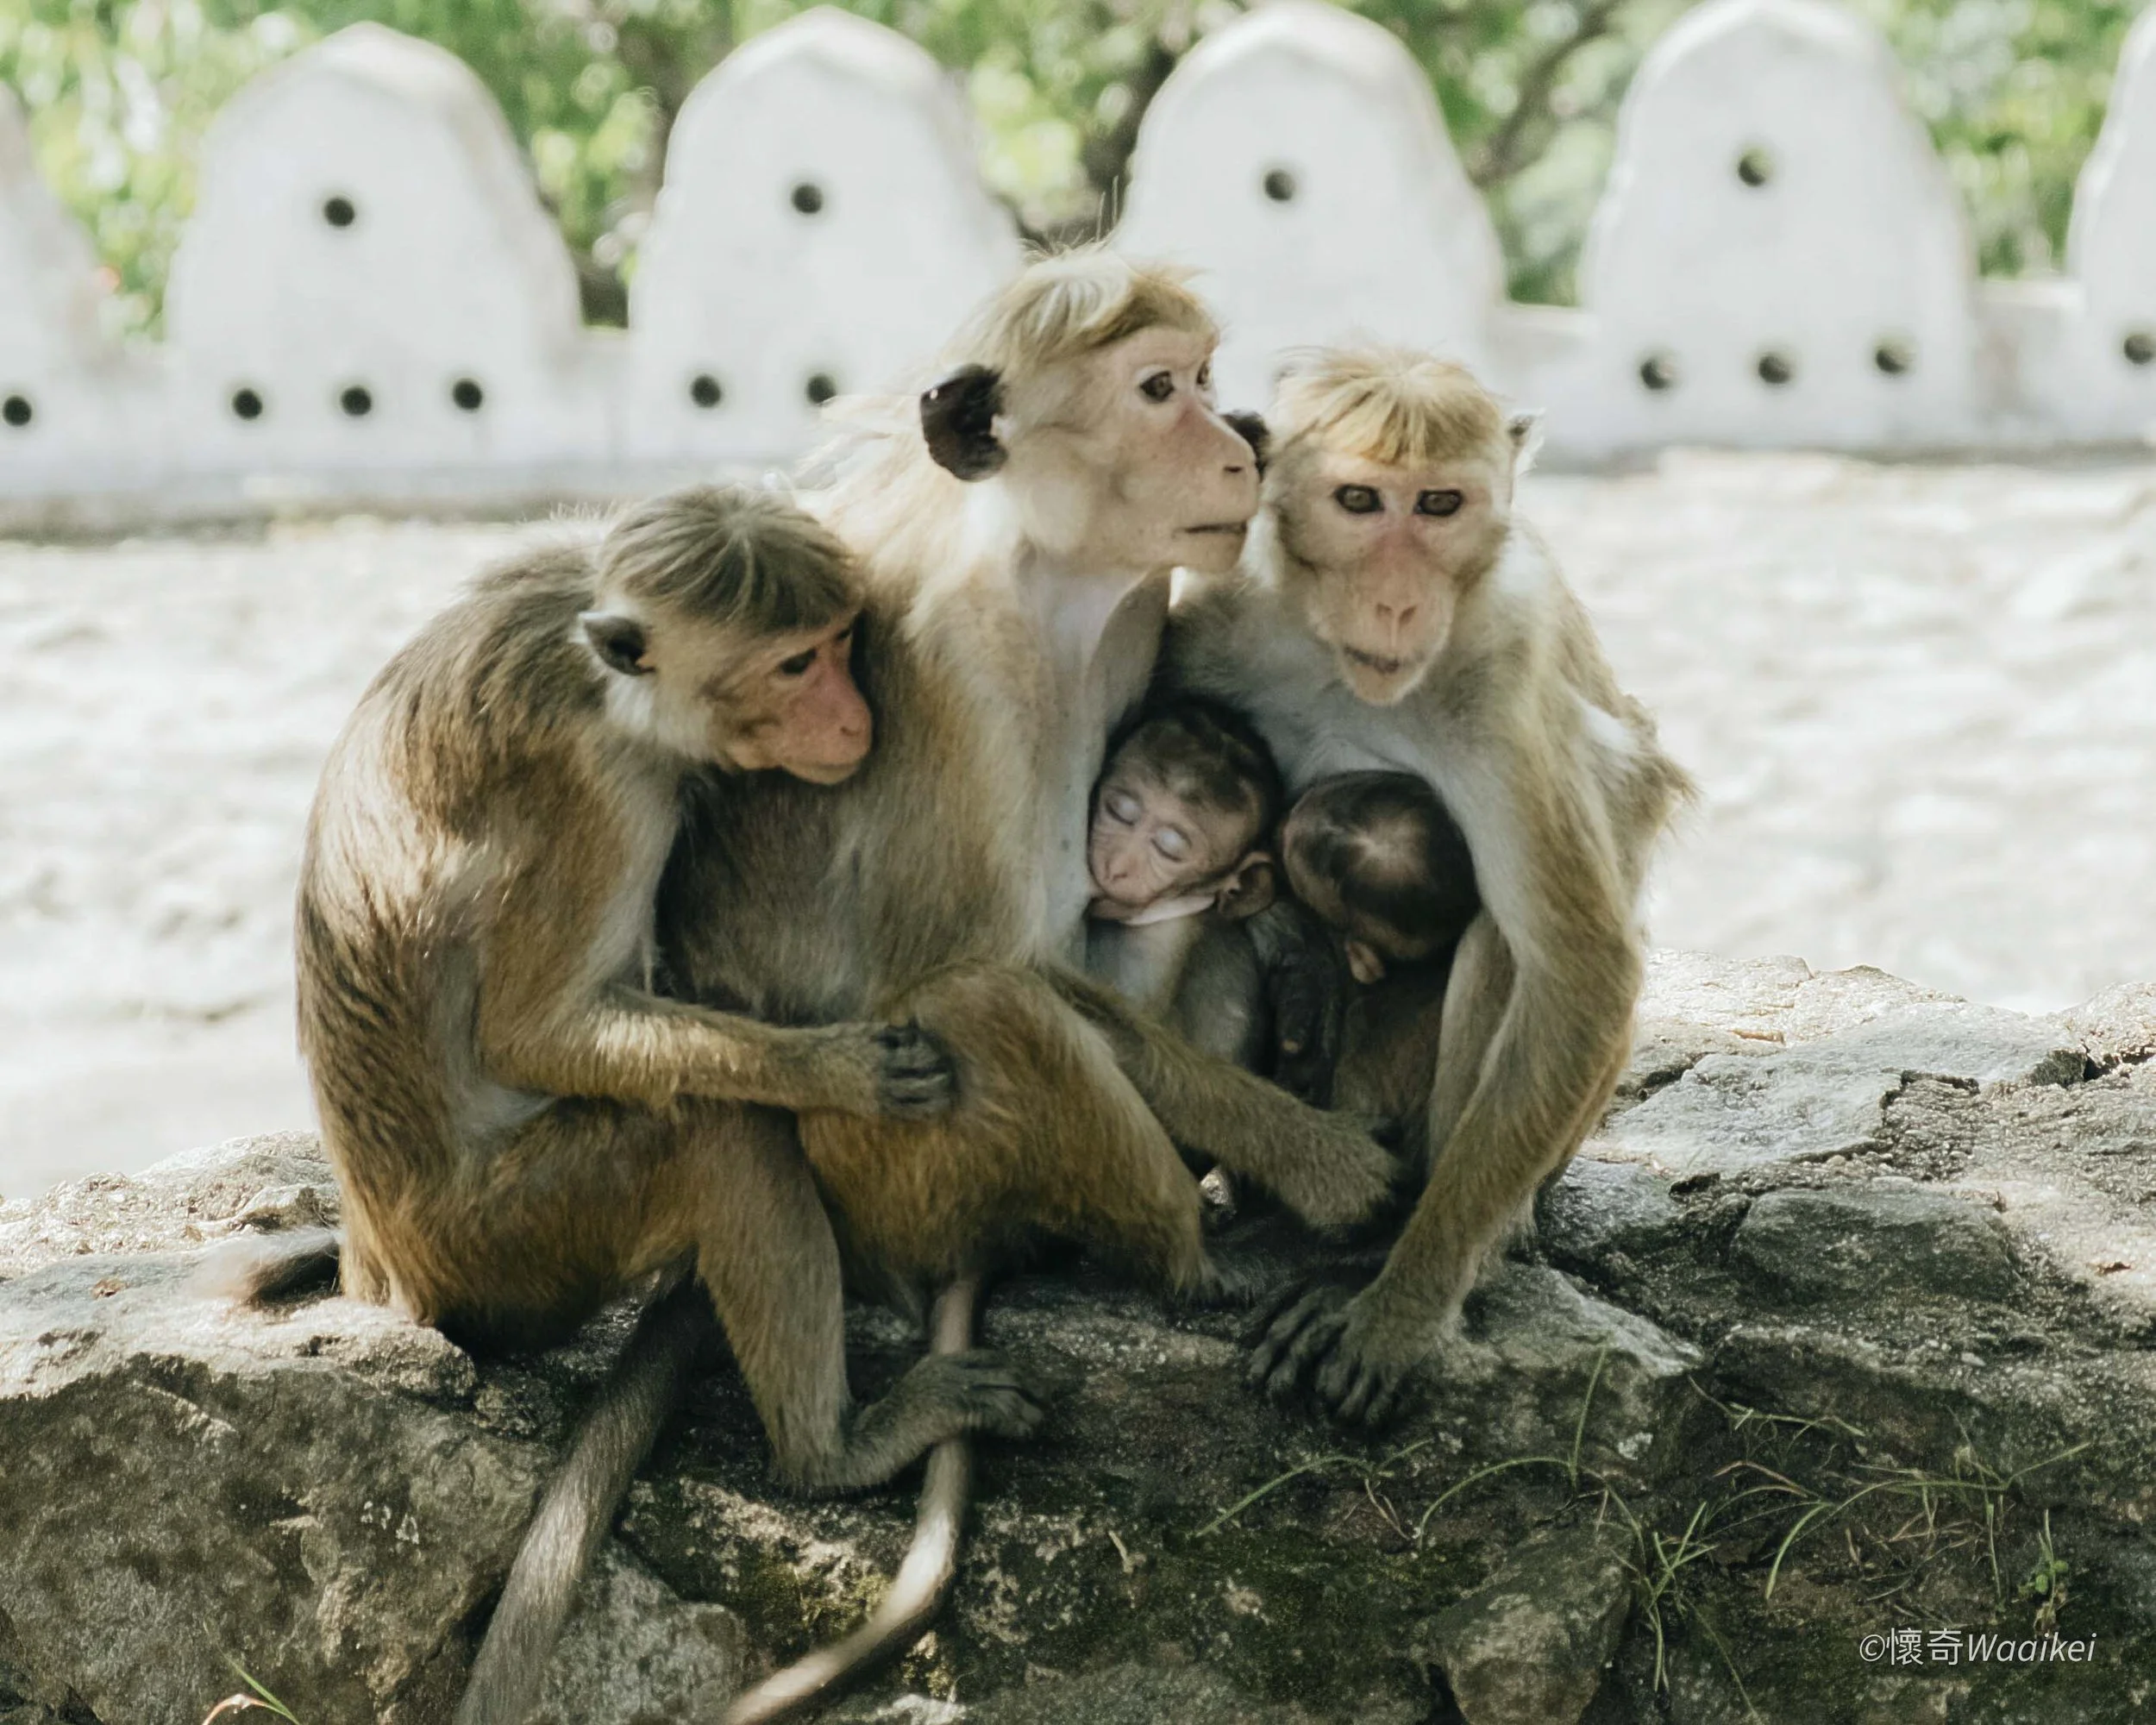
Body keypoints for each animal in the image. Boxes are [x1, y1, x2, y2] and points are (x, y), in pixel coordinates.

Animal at [1166, 346, 1696, 1427]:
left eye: (1440, 502)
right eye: (1359, 500)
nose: (1399, 600)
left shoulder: (1502, 676)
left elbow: (1579, 968)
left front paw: (1400, 1310)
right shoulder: (1212, 618)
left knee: (1507, 946)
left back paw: (1384, 1254)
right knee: (1211, 928)